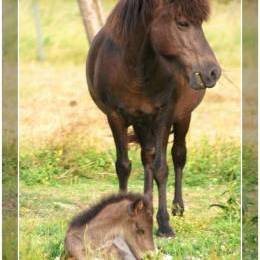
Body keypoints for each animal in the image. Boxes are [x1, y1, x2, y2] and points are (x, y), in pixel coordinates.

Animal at [86, 0, 220, 237]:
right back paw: (146, 205)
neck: (134, 66)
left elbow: (161, 169)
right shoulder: (115, 117)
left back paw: (177, 207)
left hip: (183, 117)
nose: (213, 72)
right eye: (182, 23)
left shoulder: (163, 116)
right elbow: (124, 166)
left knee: (178, 156)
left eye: (200, 24)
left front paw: (165, 224)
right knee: (147, 156)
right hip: (142, 123)